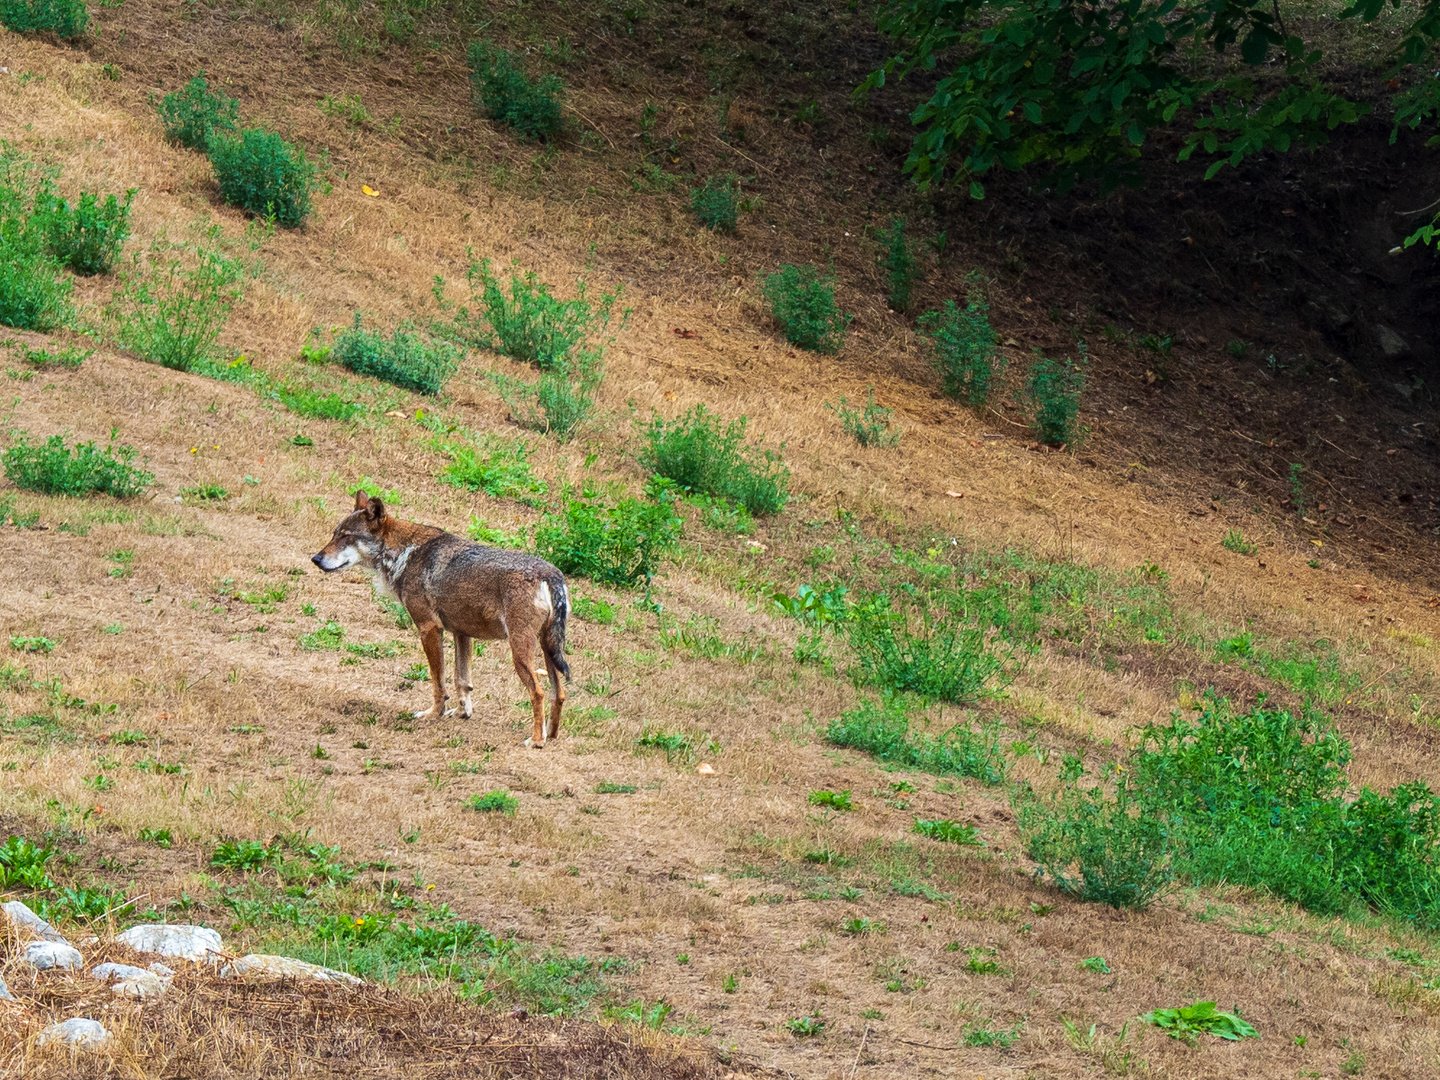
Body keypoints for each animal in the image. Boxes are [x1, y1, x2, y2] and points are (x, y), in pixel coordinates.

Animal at [312, 495, 570, 748]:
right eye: (335, 534)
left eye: (346, 536)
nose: (315, 559)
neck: (405, 554)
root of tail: (552, 575)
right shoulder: (461, 633)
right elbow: (461, 681)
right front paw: (462, 713)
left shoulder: (429, 629)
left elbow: (438, 681)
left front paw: (433, 714)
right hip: (548, 649)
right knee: (559, 693)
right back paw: (551, 735)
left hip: (519, 652)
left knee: (538, 692)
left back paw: (536, 741)